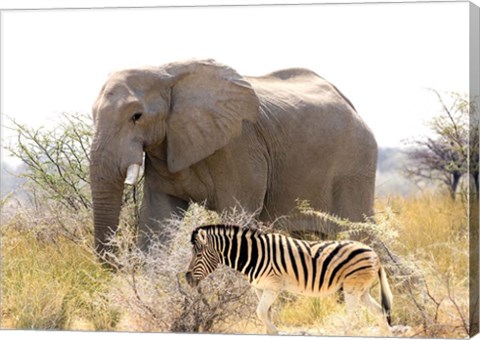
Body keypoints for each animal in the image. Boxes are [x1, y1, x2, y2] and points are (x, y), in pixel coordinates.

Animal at [88, 59, 376, 260]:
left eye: (136, 116)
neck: (167, 74)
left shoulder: (239, 145)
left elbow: (236, 214)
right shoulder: (167, 143)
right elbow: (158, 216)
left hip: (355, 164)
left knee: (361, 235)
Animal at [186, 224, 392, 334]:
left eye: (198, 255)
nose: (187, 278)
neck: (254, 255)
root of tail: (375, 254)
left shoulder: (273, 287)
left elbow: (261, 313)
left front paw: (276, 332)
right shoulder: (259, 288)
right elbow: (265, 314)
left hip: (351, 288)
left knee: (353, 316)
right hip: (362, 291)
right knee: (380, 312)